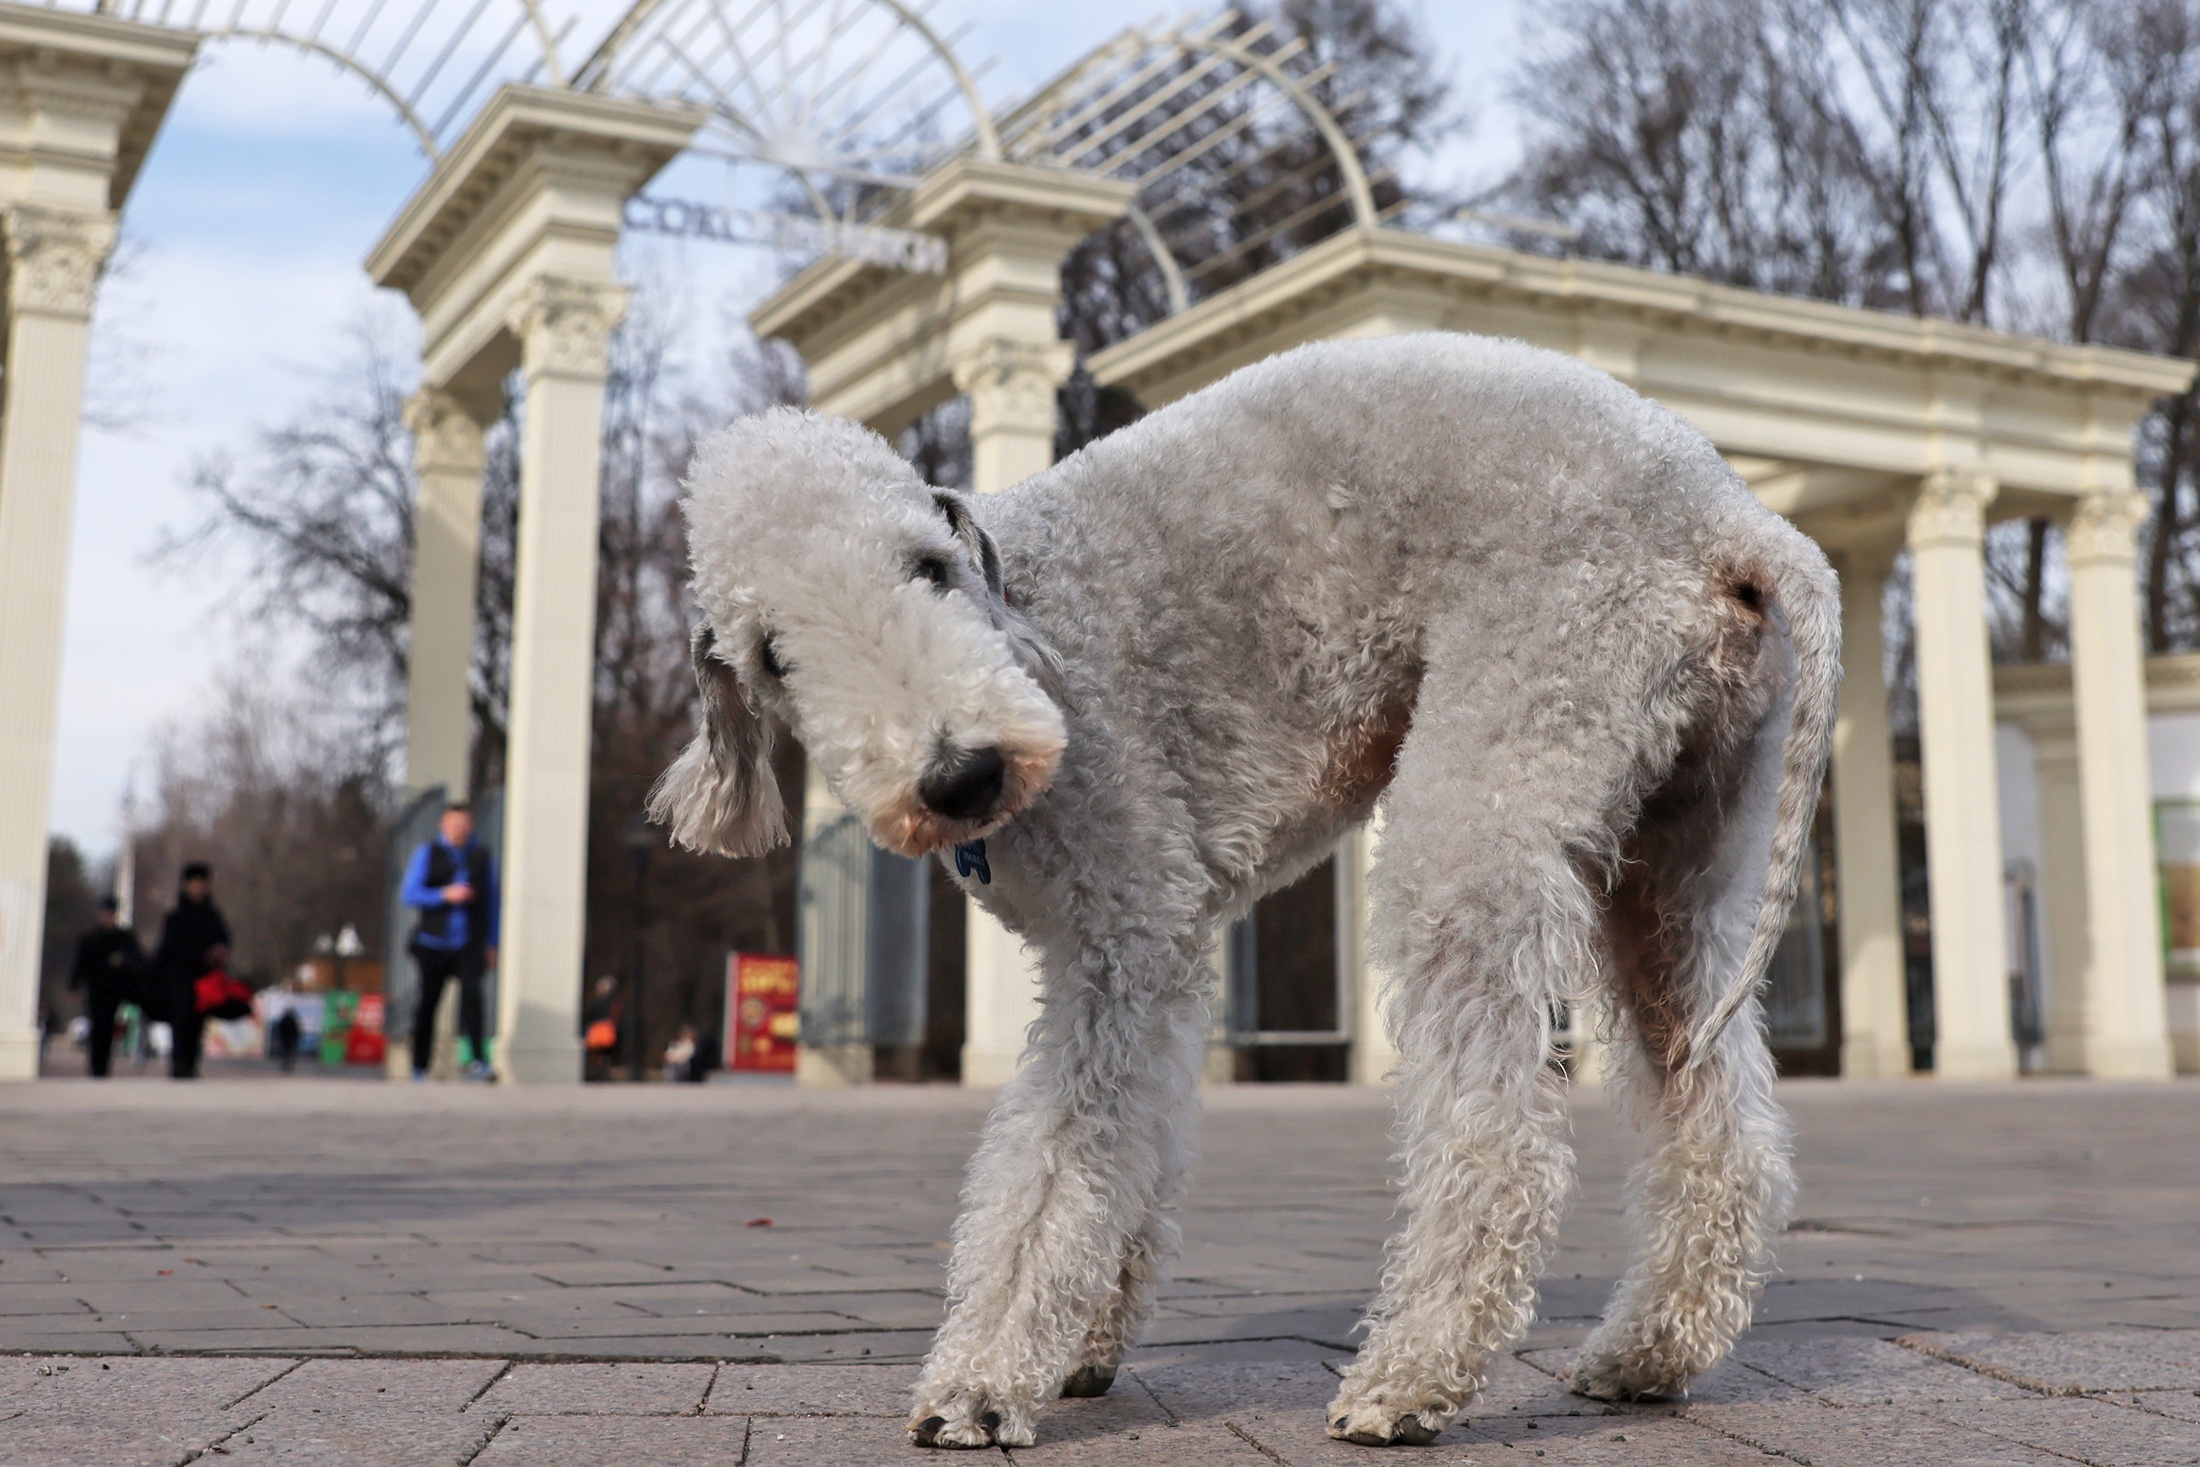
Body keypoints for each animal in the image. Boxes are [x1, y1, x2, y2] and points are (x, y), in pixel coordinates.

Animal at [646, 332, 1839, 1442]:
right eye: (771, 654)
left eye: (928, 566)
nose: (962, 773)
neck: (1028, 617)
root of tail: (1734, 517)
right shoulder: (1160, 955)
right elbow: (1139, 1144)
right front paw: (1083, 1343)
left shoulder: (1119, 934)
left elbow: (1053, 1167)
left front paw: (981, 1381)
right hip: (1683, 848)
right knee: (1722, 1121)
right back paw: (1646, 1354)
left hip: (1497, 777)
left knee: (1502, 1142)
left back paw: (1407, 1381)